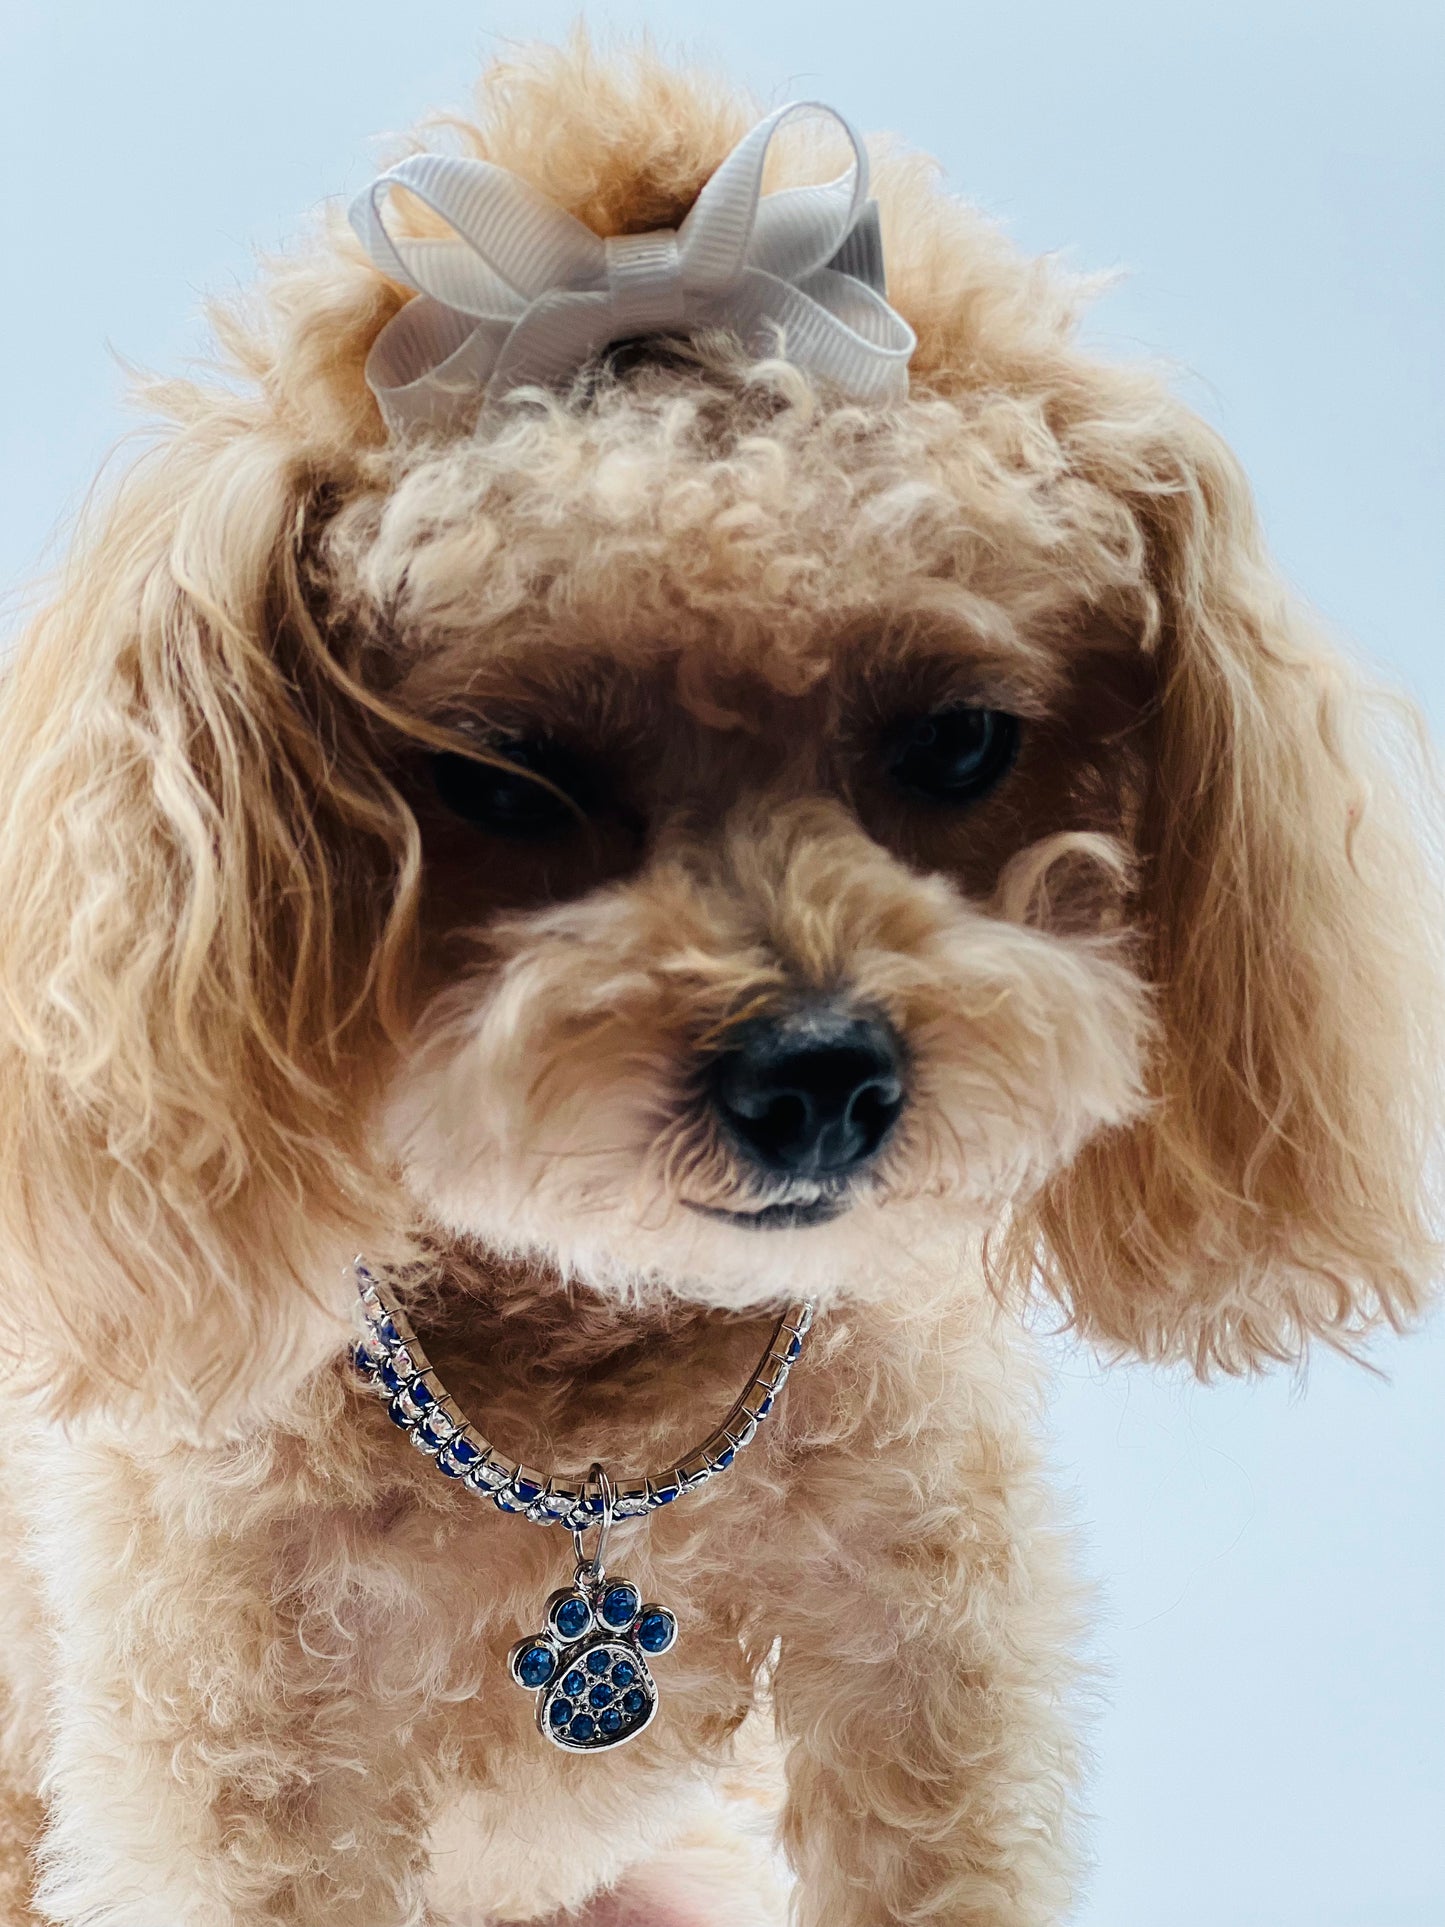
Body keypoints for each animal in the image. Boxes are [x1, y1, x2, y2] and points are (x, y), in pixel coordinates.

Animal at [0, 30, 1441, 1927]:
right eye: (509, 774)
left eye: (959, 739)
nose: (820, 1075)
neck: (602, 1431)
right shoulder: (241, 1751)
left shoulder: (923, 1659)